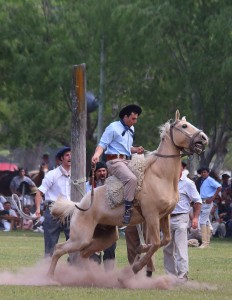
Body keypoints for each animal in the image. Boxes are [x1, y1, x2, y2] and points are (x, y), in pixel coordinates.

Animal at [48, 110, 208, 276]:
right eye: (184, 126)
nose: (204, 138)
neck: (160, 176)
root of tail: (78, 205)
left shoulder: (165, 216)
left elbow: (165, 240)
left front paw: (140, 249)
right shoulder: (151, 215)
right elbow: (156, 243)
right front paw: (136, 267)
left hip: (106, 237)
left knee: (84, 253)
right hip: (80, 237)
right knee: (59, 249)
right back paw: (49, 276)